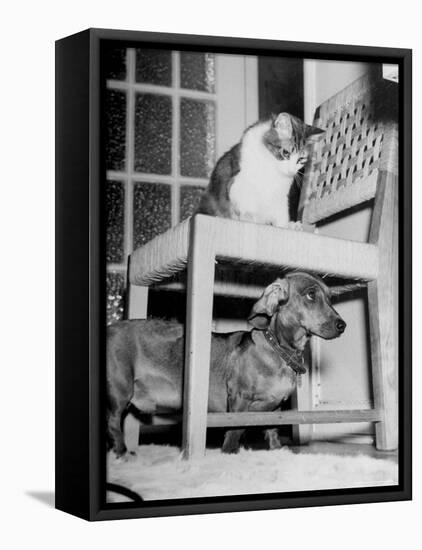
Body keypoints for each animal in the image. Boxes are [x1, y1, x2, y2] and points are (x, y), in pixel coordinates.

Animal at [106, 272, 352, 458]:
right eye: (311, 294)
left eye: (330, 297)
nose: (343, 325)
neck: (278, 351)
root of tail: (111, 327)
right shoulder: (239, 399)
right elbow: (234, 431)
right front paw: (230, 453)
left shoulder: (275, 408)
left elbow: (272, 428)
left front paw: (276, 450)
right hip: (119, 392)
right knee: (113, 423)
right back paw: (122, 452)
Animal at [195, 113, 324, 227]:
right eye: (285, 153)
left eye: (301, 159)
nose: (291, 170)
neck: (273, 168)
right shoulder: (239, 183)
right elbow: (245, 204)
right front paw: (249, 217)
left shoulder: (280, 194)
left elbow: (281, 214)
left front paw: (287, 226)